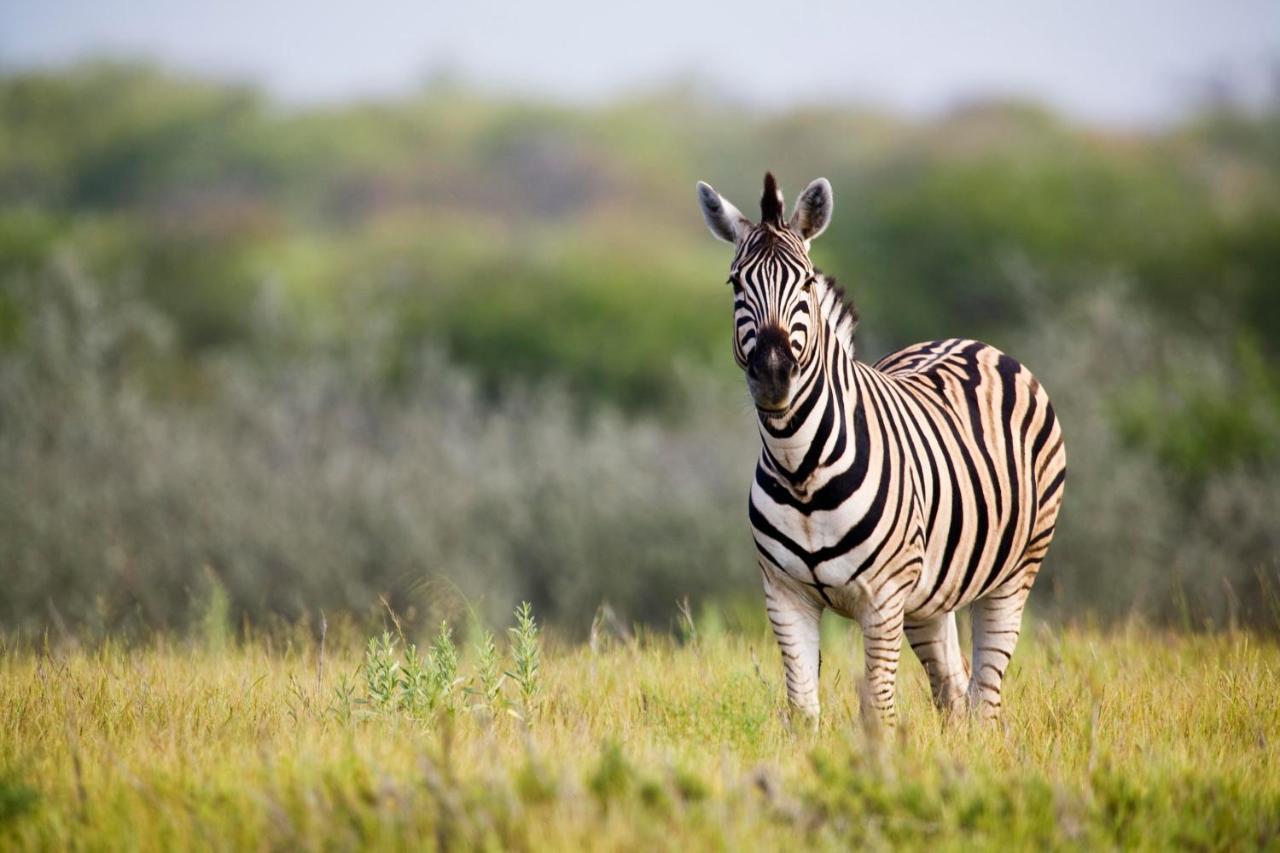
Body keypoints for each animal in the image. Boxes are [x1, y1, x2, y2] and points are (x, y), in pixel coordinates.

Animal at [696, 171, 1064, 722]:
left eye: (807, 282)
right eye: (736, 284)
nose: (773, 374)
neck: (799, 468)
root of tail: (970, 343)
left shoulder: (884, 598)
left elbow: (879, 710)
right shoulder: (784, 596)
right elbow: (803, 711)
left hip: (1017, 569)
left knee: (985, 697)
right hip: (931, 595)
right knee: (953, 691)